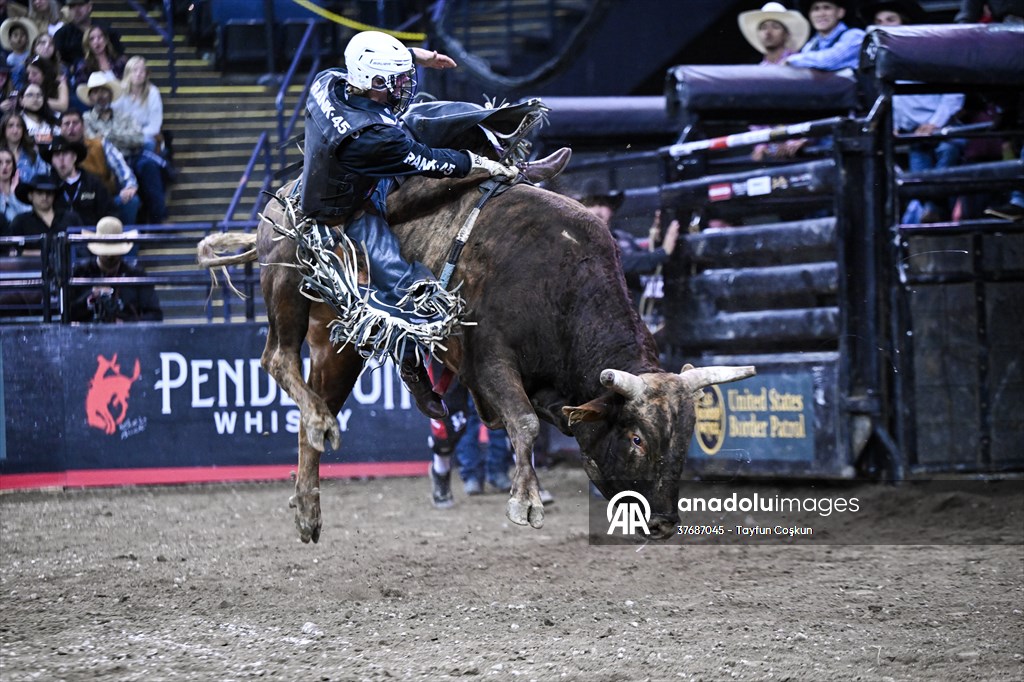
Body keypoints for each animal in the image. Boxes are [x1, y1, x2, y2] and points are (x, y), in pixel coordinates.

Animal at [198, 102, 754, 543]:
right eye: (637, 438)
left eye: (686, 435)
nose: (663, 522)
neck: (562, 284)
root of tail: (281, 199)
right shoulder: (489, 360)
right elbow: (524, 422)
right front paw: (525, 501)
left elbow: (536, 420)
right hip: (286, 282)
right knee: (276, 357)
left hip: (341, 341)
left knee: (316, 408)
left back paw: (310, 499)